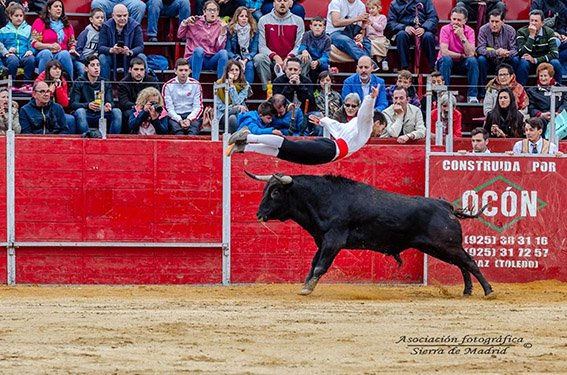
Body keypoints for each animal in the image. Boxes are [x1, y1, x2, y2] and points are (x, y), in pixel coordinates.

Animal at [246, 172, 494, 298]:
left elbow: (320, 266)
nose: (259, 214)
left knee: (469, 262)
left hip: (446, 245)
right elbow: (313, 264)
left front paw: (308, 288)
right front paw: (306, 285)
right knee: (462, 264)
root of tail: (446, 206)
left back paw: (488, 291)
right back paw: (467, 291)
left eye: (275, 192)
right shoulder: (322, 241)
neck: (323, 198)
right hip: (438, 247)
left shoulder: (333, 241)